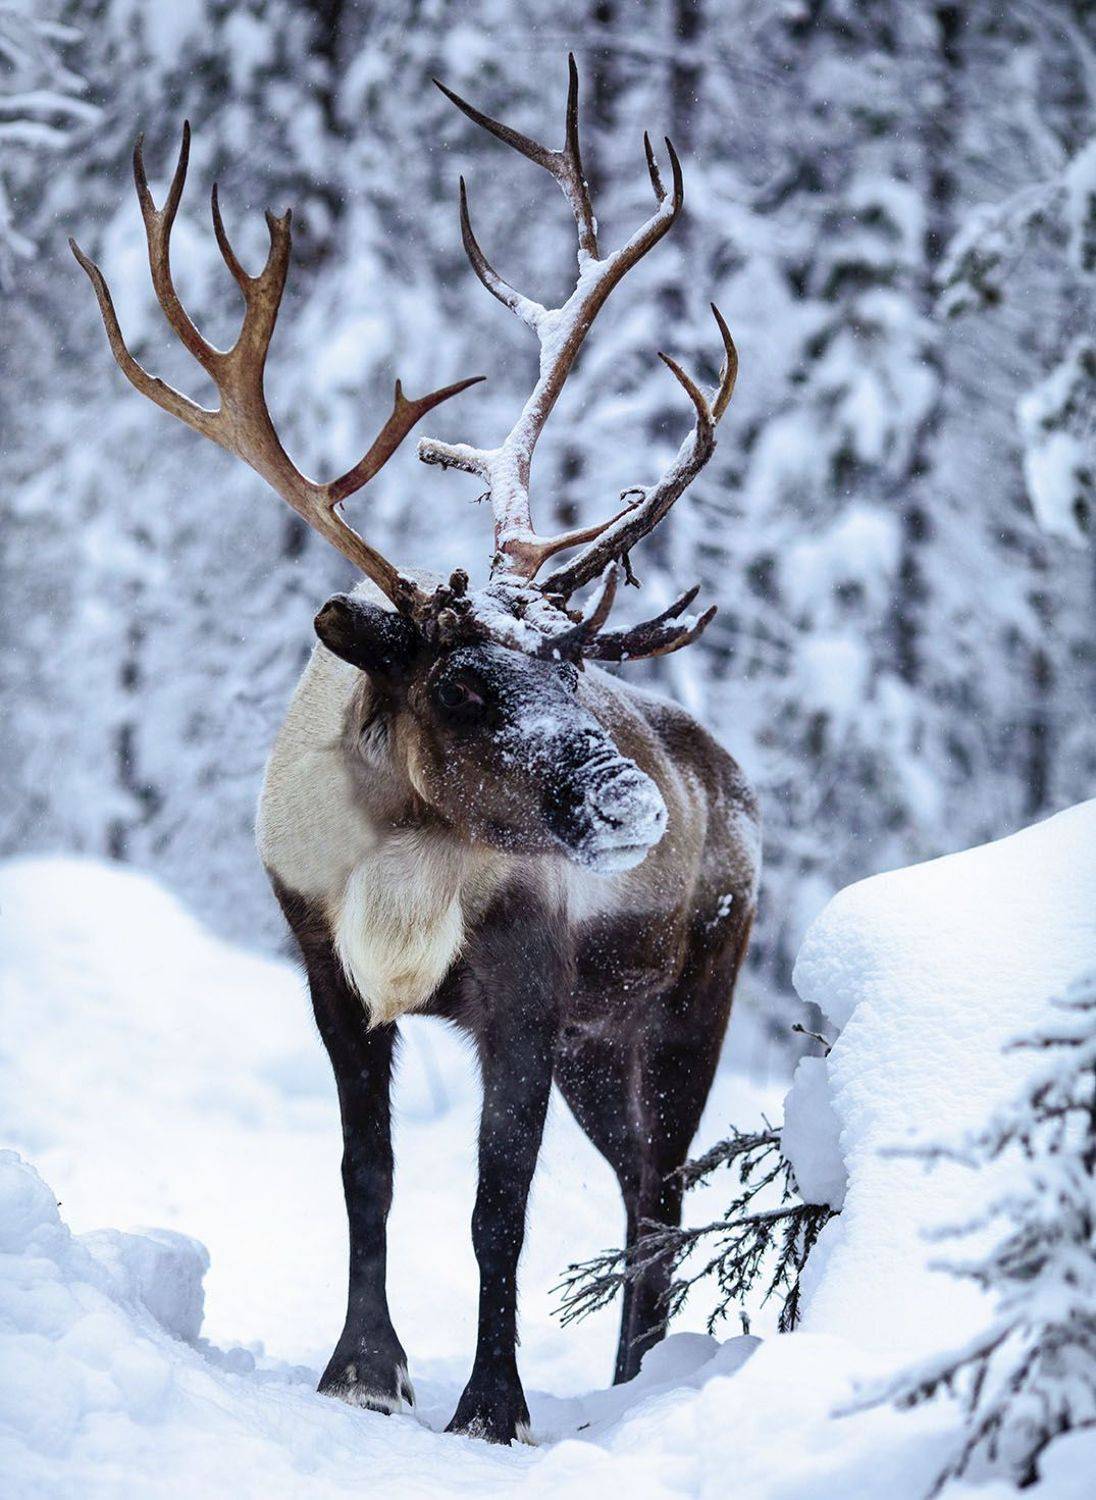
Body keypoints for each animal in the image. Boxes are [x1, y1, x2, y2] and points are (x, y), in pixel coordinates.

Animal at [71, 57, 760, 1445]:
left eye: (570, 665)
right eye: (459, 684)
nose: (630, 804)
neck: (399, 856)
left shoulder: (526, 988)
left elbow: (498, 1205)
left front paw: (490, 1406)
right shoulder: (328, 974)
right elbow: (367, 1173)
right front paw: (363, 1372)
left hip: (685, 1003)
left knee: (661, 1193)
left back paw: (634, 1384)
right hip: (601, 1047)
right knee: (637, 1191)